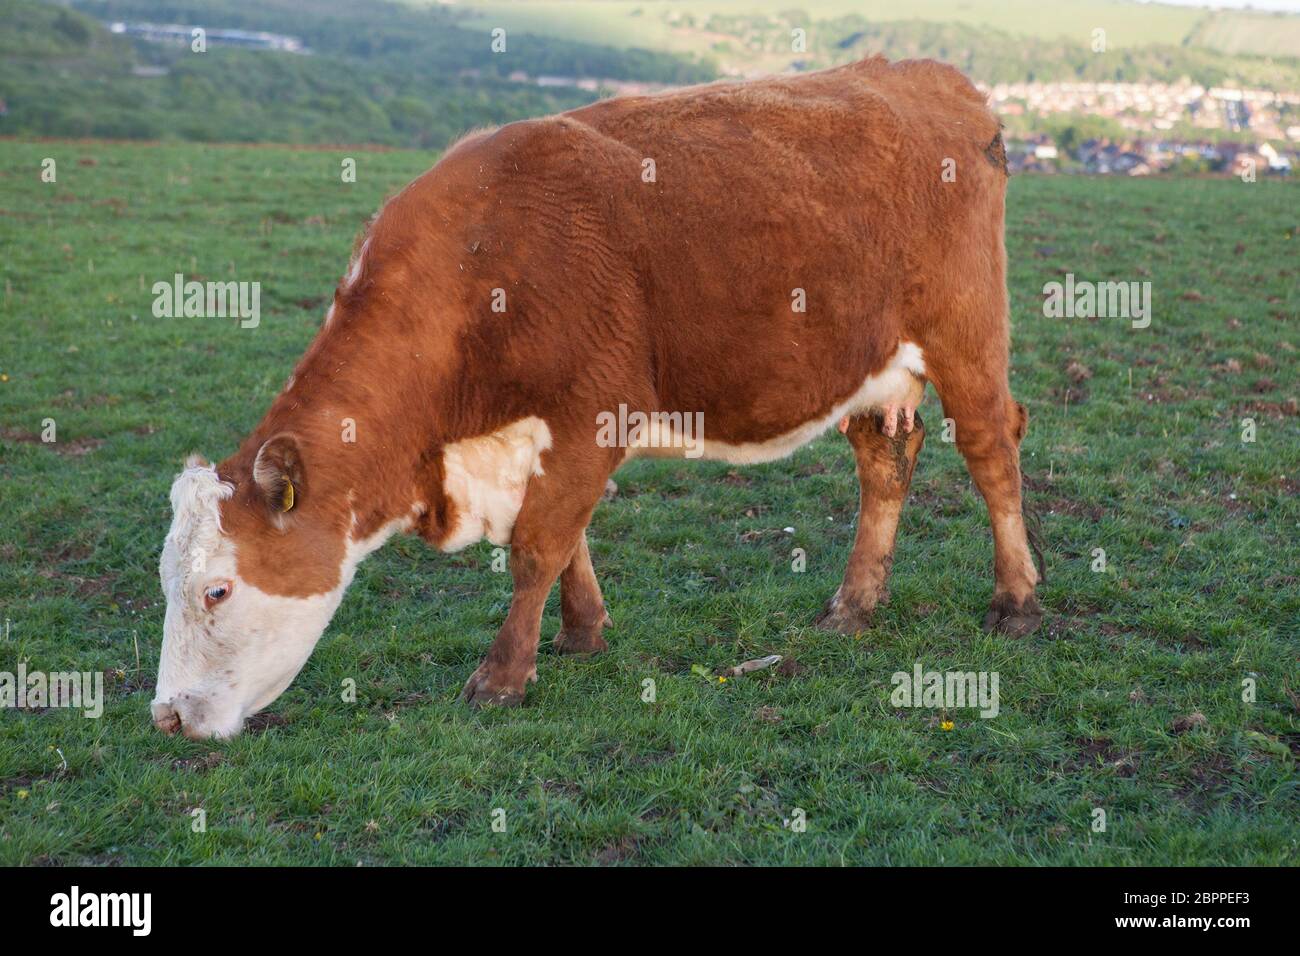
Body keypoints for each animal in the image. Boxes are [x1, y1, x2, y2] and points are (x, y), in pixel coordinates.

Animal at [153, 56, 1043, 740]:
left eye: (216, 589)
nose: (166, 716)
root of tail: (931, 75)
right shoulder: (540, 434)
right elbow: (565, 535)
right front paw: (582, 631)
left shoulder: (591, 409)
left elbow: (538, 544)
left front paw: (503, 675)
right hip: (869, 363)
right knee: (885, 461)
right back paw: (853, 605)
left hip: (966, 334)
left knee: (991, 450)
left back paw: (1016, 601)